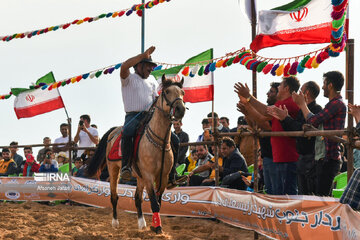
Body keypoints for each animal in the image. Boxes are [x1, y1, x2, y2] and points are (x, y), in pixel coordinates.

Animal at [87, 74, 186, 232]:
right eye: (167, 91)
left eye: (182, 93)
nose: (180, 109)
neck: (159, 142)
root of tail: (114, 131)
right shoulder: (149, 176)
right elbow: (154, 202)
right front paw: (158, 227)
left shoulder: (163, 177)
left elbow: (158, 202)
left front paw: (154, 224)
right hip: (114, 170)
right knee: (114, 196)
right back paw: (115, 222)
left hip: (139, 177)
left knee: (137, 198)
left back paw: (141, 223)